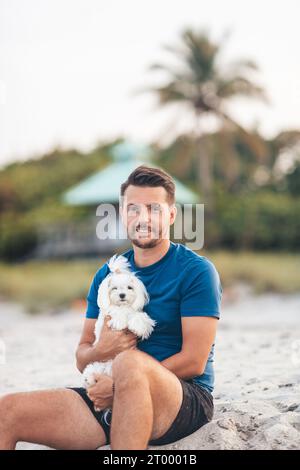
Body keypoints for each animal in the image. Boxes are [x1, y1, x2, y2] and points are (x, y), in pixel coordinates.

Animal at [82, 253, 156, 404]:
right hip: (98, 363)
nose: (122, 295)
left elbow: (138, 316)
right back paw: (89, 378)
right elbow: (117, 313)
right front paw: (120, 321)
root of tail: (108, 370)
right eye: (114, 289)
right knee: (90, 369)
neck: (123, 307)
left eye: (129, 288)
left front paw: (139, 326)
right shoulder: (109, 313)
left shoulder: (134, 311)